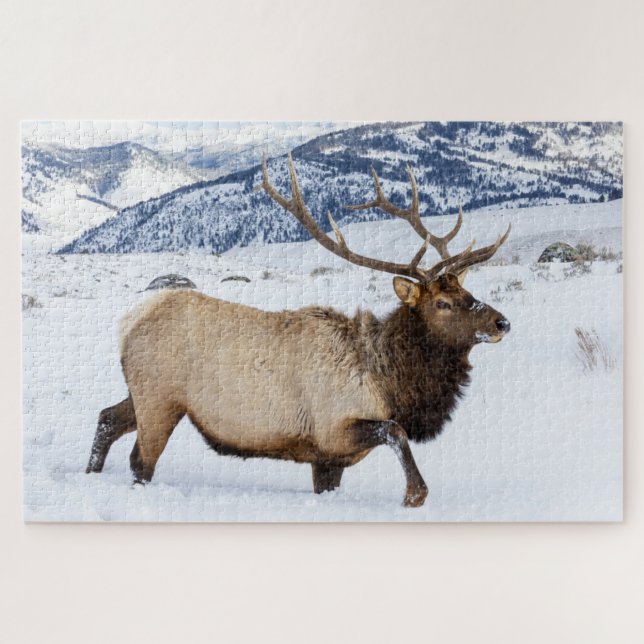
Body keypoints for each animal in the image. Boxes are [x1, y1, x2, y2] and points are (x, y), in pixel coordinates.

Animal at [85, 154, 511, 507]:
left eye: (467, 292)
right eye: (442, 303)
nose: (501, 322)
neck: (391, 384)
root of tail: (129, 322)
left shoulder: (327, 459)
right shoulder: (333, 429)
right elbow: (395, 432)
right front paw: (414, 495)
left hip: (145, 393)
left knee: (107, 417)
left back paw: (89, 474)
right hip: (160, 397)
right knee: (140, 460)